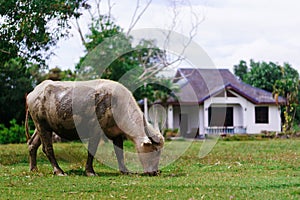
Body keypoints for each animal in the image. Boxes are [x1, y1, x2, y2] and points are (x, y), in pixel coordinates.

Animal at [26, 79, 165, 176]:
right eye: (154, 151)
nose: (154, 172)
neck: (116, 103)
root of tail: (32, 93)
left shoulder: (116, 133)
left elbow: (119, 152)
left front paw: (125, 171)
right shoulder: (95, 131)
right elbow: (92, 150)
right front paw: (90, 171)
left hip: (41, 127)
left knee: (32, 144)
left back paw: (34, 169)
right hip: (42, 126)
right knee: (47, 148)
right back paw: (59, 171)